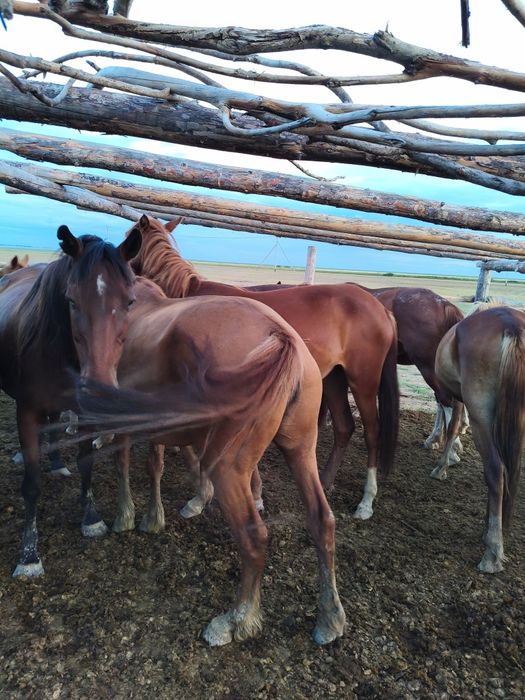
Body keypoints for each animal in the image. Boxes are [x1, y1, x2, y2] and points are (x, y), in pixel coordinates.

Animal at [0, 230, 140, 577]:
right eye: (72, 300)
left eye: (130, 301)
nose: (100, 391)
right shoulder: (27, 411)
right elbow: (32, 485)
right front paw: (29, 555)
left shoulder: (84, 412)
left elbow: (86, 463)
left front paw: (91, 519)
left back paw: (56, 461)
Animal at [63, 241, 345, 647]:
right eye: (73, 301)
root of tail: (281, 337)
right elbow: (158, 463)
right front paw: (159, 513)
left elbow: (127, 464)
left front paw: (128, 515)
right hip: (301, 450)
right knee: (322, 520)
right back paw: (330, 618)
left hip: (230, 467)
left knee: (254, 536)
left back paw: (235, 620)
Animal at [128, 215, 400, 521]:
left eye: (129, 237)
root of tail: (380, 307)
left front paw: (202, 498)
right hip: (334, 378)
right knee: (344, 427)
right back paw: (326, 481)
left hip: (363, 380)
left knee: (372, 432)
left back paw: (366, 501)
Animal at [432, 305, 525, 572]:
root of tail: (511, 325)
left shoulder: (456, 398)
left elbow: (452, 426)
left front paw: (442, 465)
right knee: (508, 471)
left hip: (480, 415)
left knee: (495, 470)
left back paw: (492, 551)